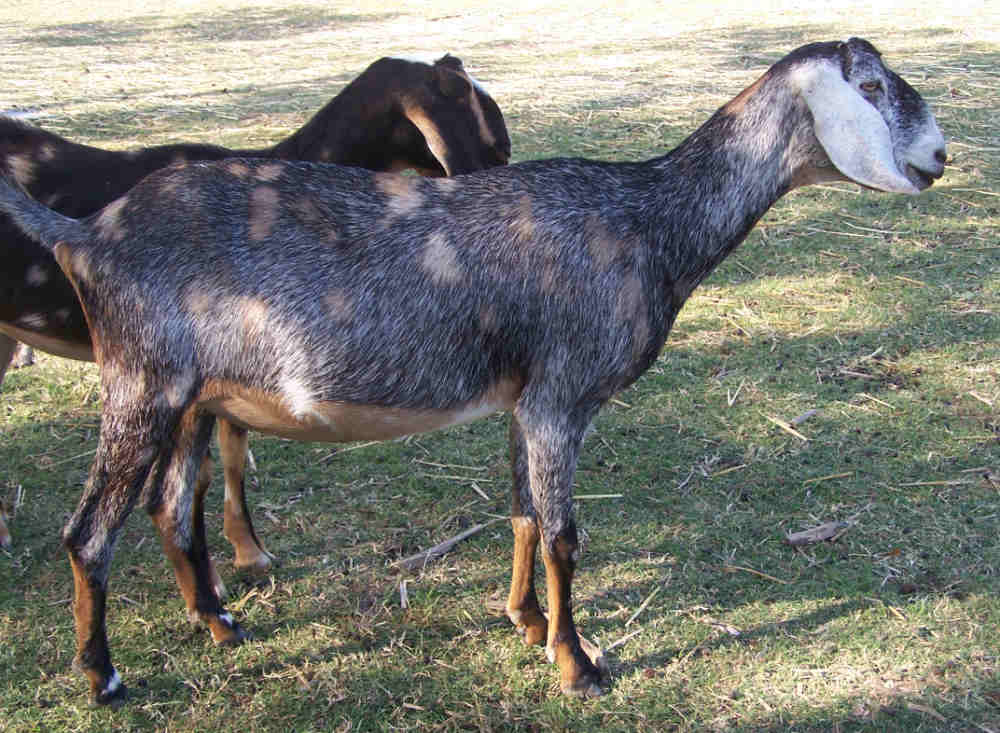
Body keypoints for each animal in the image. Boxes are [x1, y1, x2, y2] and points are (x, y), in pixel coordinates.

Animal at [0, 38, 944, 704]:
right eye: (871, 87)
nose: (938, 156)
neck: (646, 219)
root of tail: (86, 235)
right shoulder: (563, 396)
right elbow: (563, 535)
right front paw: (578, 663)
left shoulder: (527, 398)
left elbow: (523, 515)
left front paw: (525, 621)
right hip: (141, 383)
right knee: (89, 532)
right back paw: (104, 676)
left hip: (190, 396)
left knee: (169, 507)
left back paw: (221, 623)